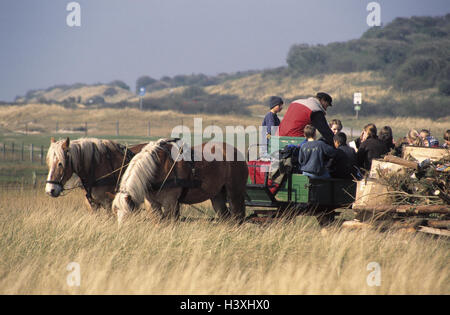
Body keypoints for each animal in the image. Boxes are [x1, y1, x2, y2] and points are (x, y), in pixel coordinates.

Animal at [111, 138, 248, 225]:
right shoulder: (152, 204)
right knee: (226, 217)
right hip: (217, 195)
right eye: (116, 211)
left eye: (129, 214)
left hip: (234, 193)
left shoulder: (170, 202)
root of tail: (236, 151)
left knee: (237, 217)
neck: (158, 165)